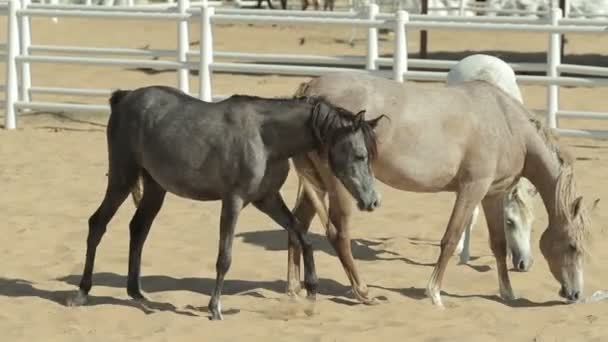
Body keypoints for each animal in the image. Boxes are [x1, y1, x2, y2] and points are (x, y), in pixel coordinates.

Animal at [66, 86, 382, 320]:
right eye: (359, 155)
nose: (372, 201)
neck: (265, 138)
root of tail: (124, 98)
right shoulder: (233, 201)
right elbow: (225, 257)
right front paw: (214, 308)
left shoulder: (266, 199)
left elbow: (301, 235)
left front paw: (312, 289)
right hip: (121, 178)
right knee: (97, 224)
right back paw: (82, 293)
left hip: (155, 188)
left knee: (138, 229)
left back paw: (138, 294)